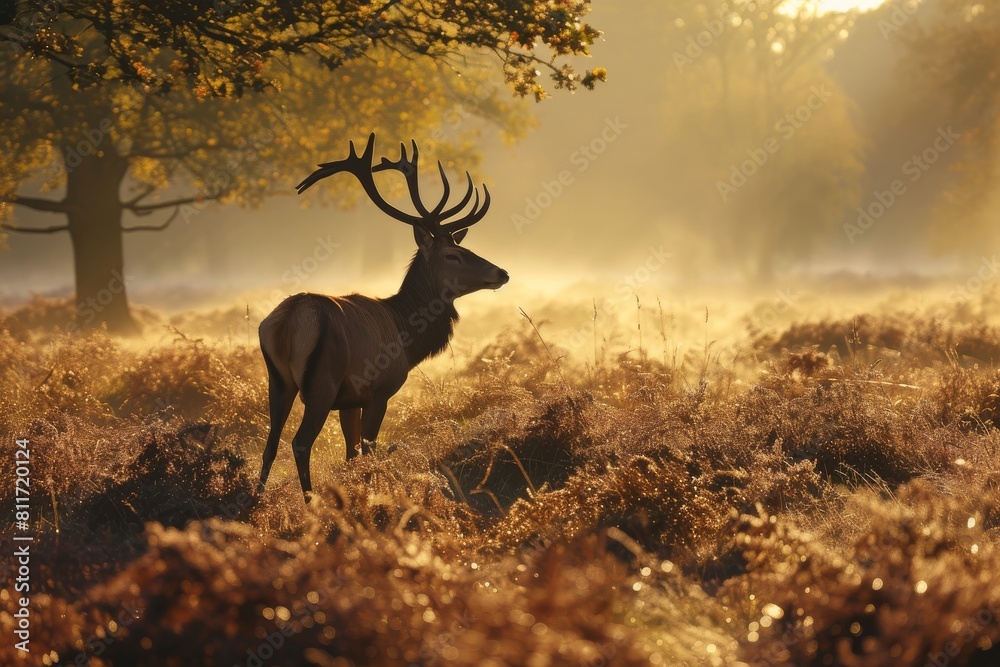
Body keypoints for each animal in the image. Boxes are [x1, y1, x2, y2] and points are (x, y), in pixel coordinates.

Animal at [256, 133, 509, 500]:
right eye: (453, 255)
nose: (501, 273)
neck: (406, 334)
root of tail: (288, 321)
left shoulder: (348, 400)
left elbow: (350, 454)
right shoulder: (378, 391)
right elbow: (368, 449)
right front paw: (372, 498)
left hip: (278, 380)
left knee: (270, 444)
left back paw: (256, 499)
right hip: (321, 381)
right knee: (300, 443)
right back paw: (310, 502)